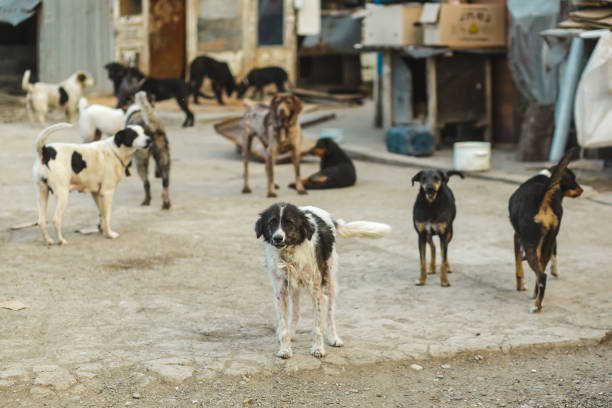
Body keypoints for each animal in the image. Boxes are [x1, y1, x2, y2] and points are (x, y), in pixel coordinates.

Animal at [255, 202, 390, 358]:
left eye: (290, 223)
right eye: (272, 222)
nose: (277, 238)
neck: (290, 254)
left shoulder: (318, 292)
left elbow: (318, 326)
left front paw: (318, 349)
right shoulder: (281, 293)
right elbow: (283, 325)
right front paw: (285, 349)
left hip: (330, 281)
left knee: (330, 314)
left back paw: (334, 338)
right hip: (294, 288)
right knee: (295, 313)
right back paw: (291, 333)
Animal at [506, 148, 584, 314]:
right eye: (573, 179)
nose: (582, 190)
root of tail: (543, 194)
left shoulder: (517, 236)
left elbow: (518, 267)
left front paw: (520, 286)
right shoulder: (552, 239)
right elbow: (555, 253)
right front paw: (555, 270)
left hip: (529, 243)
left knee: (541, 275)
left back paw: (536, 305)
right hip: (547, 241)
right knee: (542, 271)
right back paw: (536, 297)